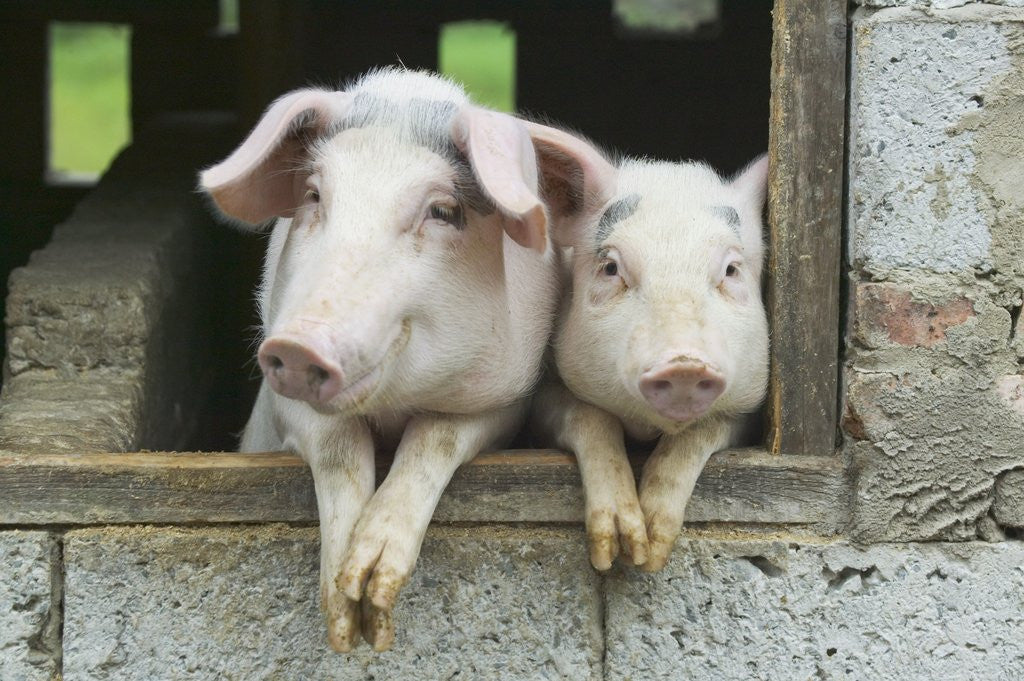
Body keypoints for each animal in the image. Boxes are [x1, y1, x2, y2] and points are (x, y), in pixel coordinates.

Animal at [198, 69, 567, 651]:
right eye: (314, 194)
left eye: (443, 211)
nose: (299, 346)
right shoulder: (279, 404)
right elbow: (337, 448)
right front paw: (346, 612)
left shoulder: (504, 396)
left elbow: (435, 438)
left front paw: (371, 597)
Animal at [525, 123, 769, 572]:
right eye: (610, 267)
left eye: (731, 269)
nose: (684, 364)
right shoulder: (544, 394)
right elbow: (590, 417)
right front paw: (621, 550)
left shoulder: (748, 407)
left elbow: (699, 432)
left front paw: (652, 552)